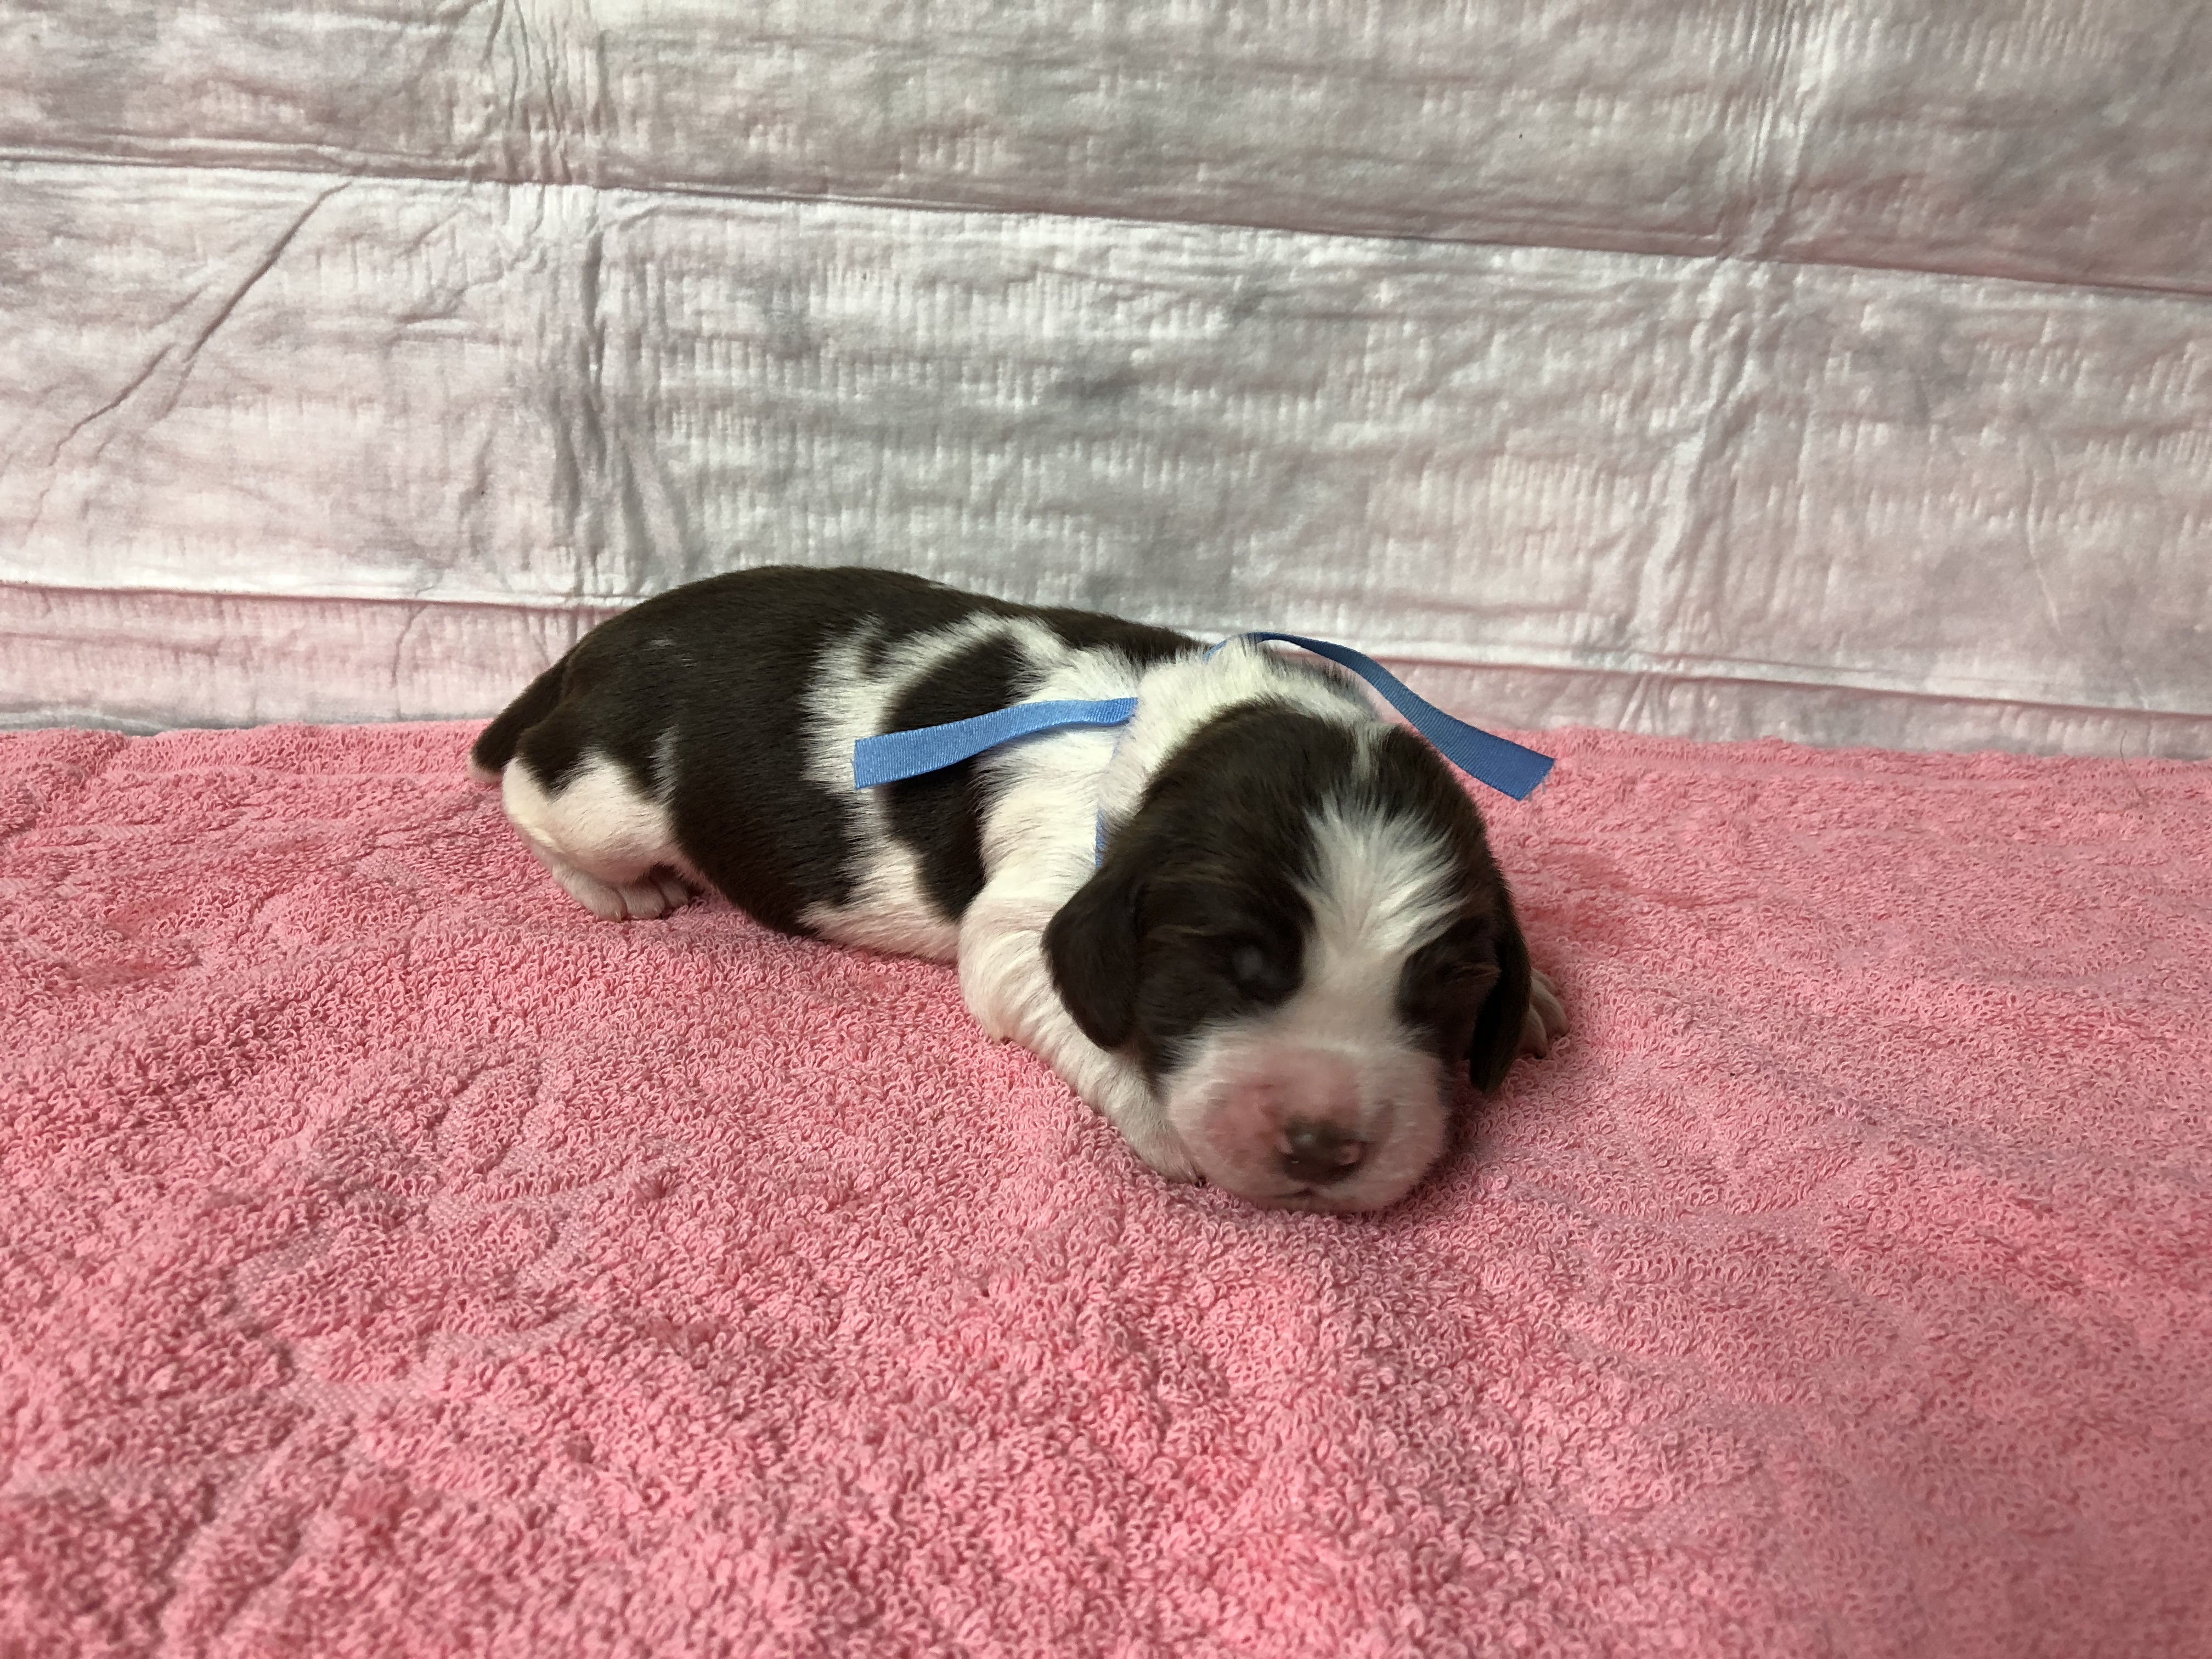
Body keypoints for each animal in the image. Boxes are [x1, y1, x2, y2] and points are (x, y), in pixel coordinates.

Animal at [469, 565, 1565, 1211]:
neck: (1171, 727)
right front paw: (1160, 1115)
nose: (1323, 1146)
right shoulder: (1029, 902)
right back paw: (617, 887)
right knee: (531, 784)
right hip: (609, 797)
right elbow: (1035, 976)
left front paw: (1539, 997)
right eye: (1231, 967)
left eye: (1445, 990)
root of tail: (595, 645)